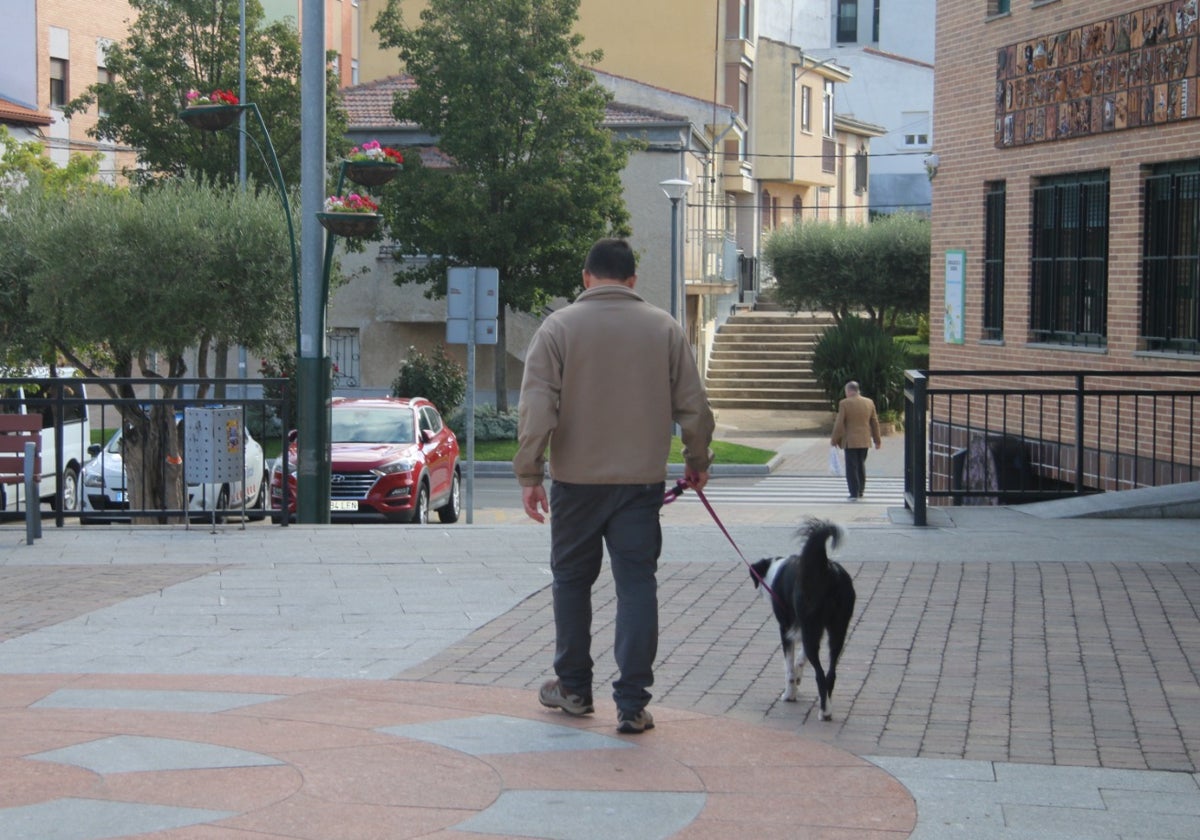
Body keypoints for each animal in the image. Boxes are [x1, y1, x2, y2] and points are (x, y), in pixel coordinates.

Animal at [748, 518, 854, 720]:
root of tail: (826, 568)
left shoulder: (786, 628)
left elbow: (789, 667)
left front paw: (790, 694)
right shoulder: (811, 629)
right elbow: (800, 658)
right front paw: (798, 678)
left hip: (813, 626)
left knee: (820, 674)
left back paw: (824, 711)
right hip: (837, 629)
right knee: (831, 674)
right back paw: (826, 707)